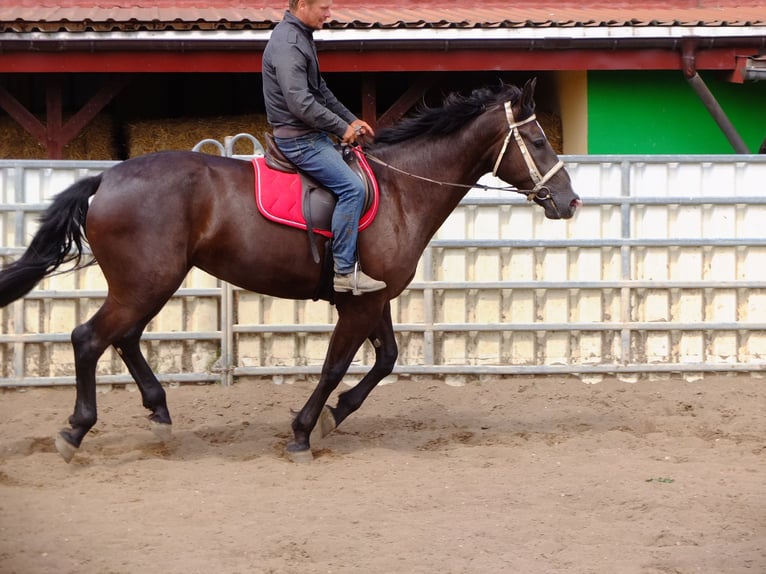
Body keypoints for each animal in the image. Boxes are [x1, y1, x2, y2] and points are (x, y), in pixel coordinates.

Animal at [0, 79, 580, 464]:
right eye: (538, 141)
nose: (570, 201)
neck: (401, 189)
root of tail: (107, 179)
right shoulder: (360, 304)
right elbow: (334, 366)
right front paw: (304, 431)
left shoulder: (372, 299)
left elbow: (386, 359)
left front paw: (337, 414)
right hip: (145, 283)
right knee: (89, 338)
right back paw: (76, 431)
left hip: (148, 283)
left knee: (122, 338)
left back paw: (159, 415)